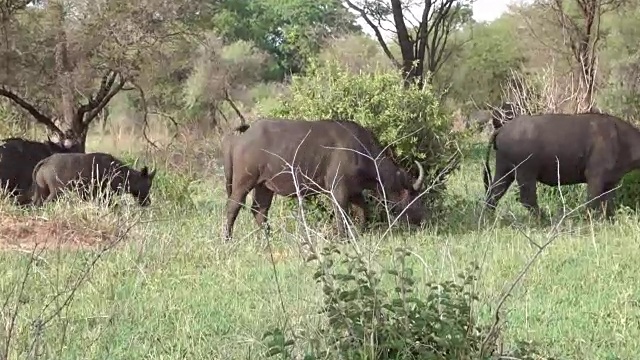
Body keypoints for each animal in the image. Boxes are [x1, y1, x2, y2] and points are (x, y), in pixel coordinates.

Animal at [30, 152, 158, 207]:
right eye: (148, 184)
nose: (147, 202)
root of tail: (46, 161)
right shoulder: (105, 195)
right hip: (57, 192)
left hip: (42, 192)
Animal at [222, 118, 428, 242]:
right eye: (413, 197)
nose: (421, 219)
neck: (360, 151)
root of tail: (242, 137)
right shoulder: (338, 190)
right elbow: (341, 213)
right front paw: (343, 238)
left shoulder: (355, 191)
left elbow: (363, 211)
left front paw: (360, 232)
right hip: (244, 182)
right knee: (233, 207)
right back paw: (227, 239)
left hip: (265, 186)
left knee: (260, 210)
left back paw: (268, 238)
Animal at [482, 112, 640, 217]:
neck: (621, 138)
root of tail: (502, 129)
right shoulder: (595, 177)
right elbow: (592, 201)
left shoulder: (611, 182)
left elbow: (608, 203)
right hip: (525, 174)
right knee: (527, 199)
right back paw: (543, 219)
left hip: (505, 172)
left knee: (493, 194)